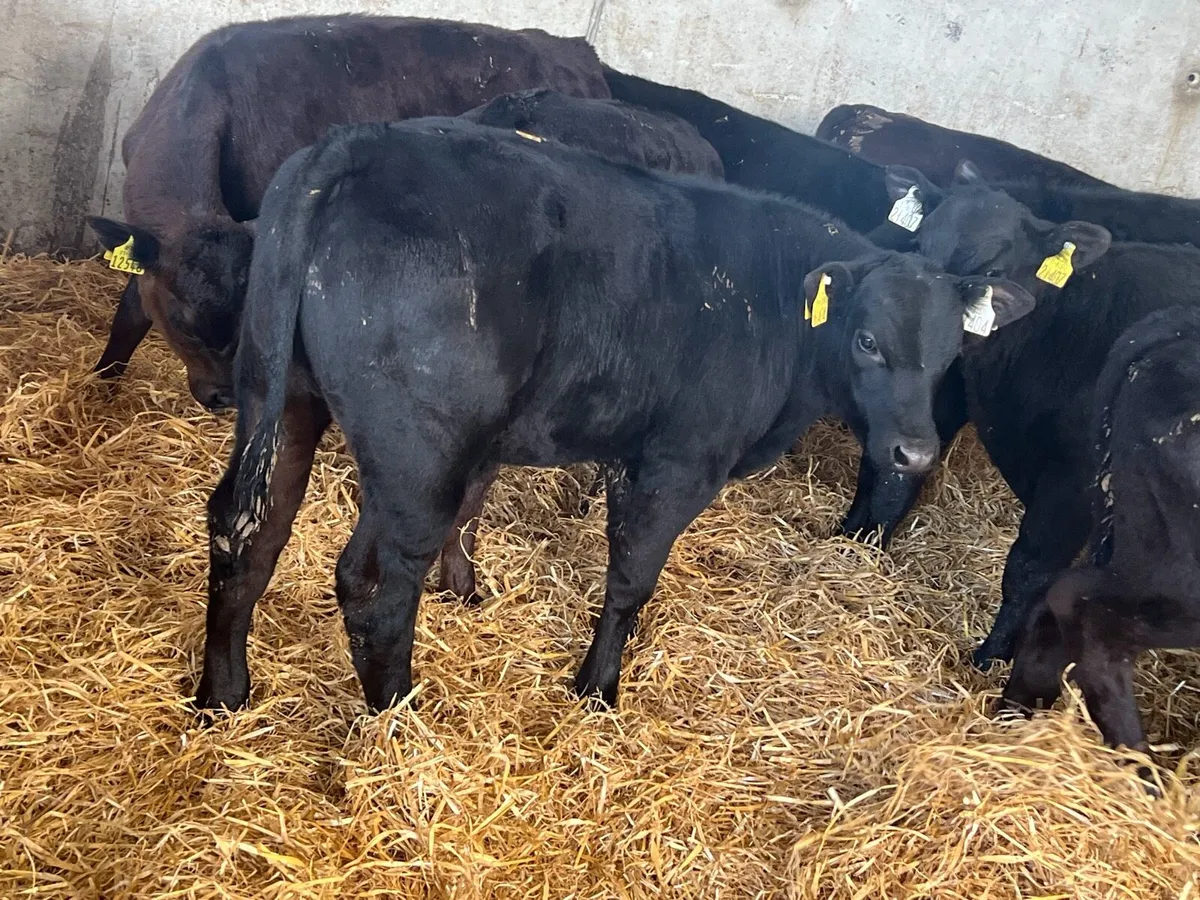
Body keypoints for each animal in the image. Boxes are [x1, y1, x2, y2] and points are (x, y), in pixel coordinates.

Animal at [195, 119, 1035, 714]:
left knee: (247, 528)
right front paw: (597, 690)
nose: (916, 454)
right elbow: (631, 581)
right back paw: (399, 712)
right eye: (866, 340)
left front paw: (468, 591)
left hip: (283, 396)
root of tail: (353, 146)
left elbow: (478, 513)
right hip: (414, 456)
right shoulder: (677, 463)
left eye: (952, 350)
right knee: (372, 581)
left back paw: (223, 695)